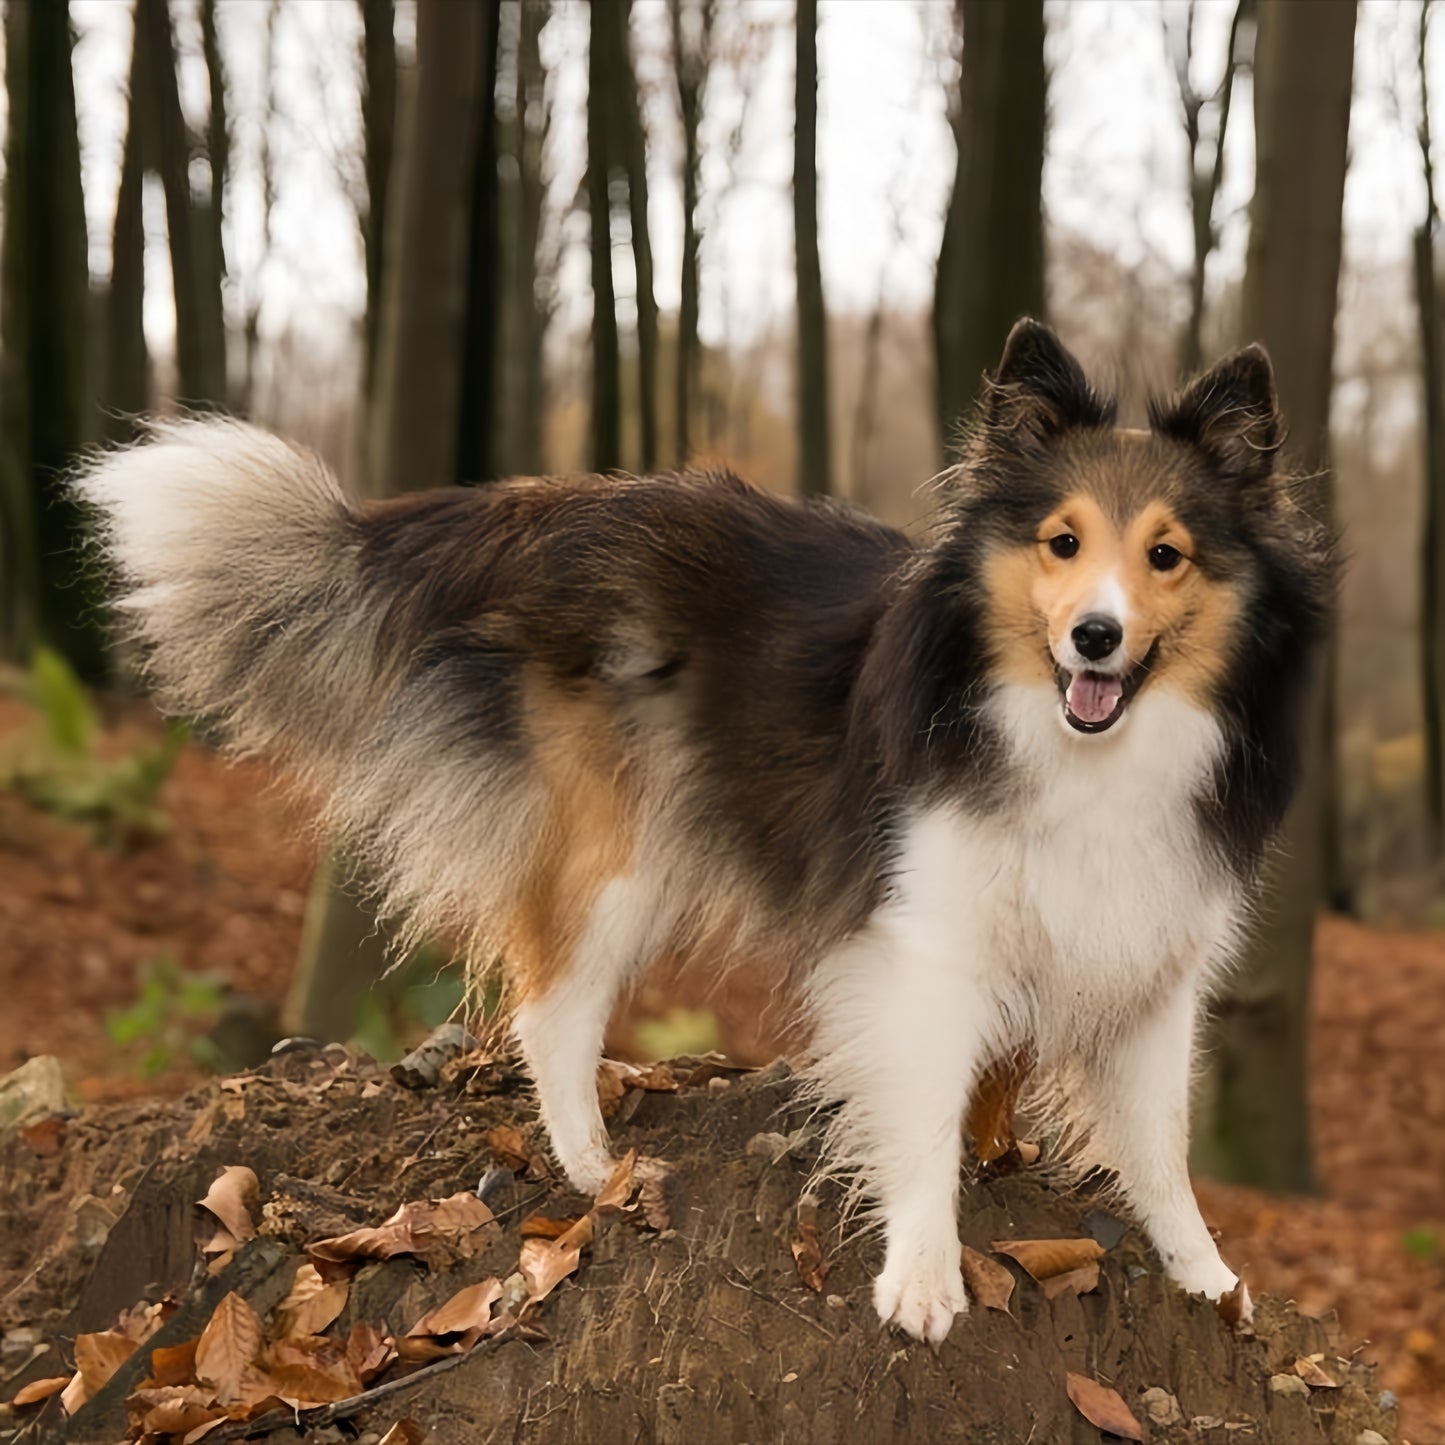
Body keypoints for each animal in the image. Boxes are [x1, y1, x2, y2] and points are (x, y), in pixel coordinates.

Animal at [79, 319, 1329, 1340]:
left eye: (1164, 553)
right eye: (1061, 542)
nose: (1093, 638)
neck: (1075, 745)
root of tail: (544, 506)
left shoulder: (1150, 963)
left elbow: (1157, 1145)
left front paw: (1203, 1273)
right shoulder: (926, 944)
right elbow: (922, 1112)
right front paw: (921, 1273)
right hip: (618, 855)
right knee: (549, 1006)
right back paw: (593, 1164)